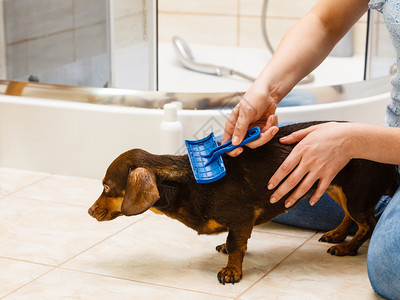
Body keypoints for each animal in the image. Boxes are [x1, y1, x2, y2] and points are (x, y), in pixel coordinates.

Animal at [88, 121, 400, 284]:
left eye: (106, 186)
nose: (89, 211)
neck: (189, 182)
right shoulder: (240, 222)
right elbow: (236, 241)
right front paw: (227, 251)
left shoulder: (241, 216)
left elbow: (237, 243)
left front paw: (231, 270)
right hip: (334, 185)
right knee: (350, 217)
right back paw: (337, 234)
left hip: (355, 193)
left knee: (368, 223)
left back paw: (348, 247)